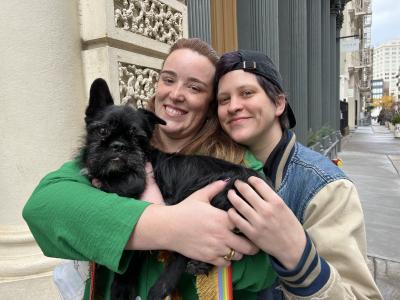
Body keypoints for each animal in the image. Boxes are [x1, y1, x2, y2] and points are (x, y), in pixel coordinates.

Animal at [80, 78, 270, 298]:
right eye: (102, 131)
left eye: (138, 138)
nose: (119, 146)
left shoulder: (140, 186)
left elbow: (135, 251)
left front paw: (122, 285)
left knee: (183, 251)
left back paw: (162, 286)